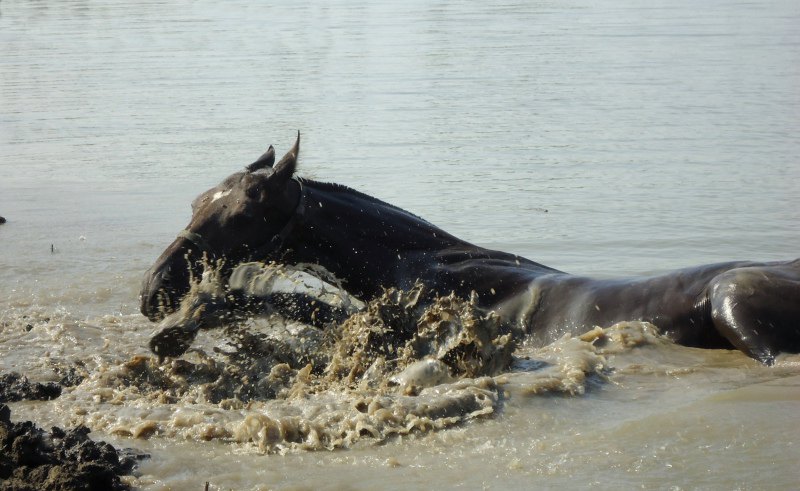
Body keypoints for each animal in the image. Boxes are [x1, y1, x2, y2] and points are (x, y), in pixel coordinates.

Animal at [141, 135, 800, 366]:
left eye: (241, 213)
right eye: (197, 200)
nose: (153, 292)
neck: (422, 264)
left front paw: (179, 331)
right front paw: (175, 334)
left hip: (734, 302)